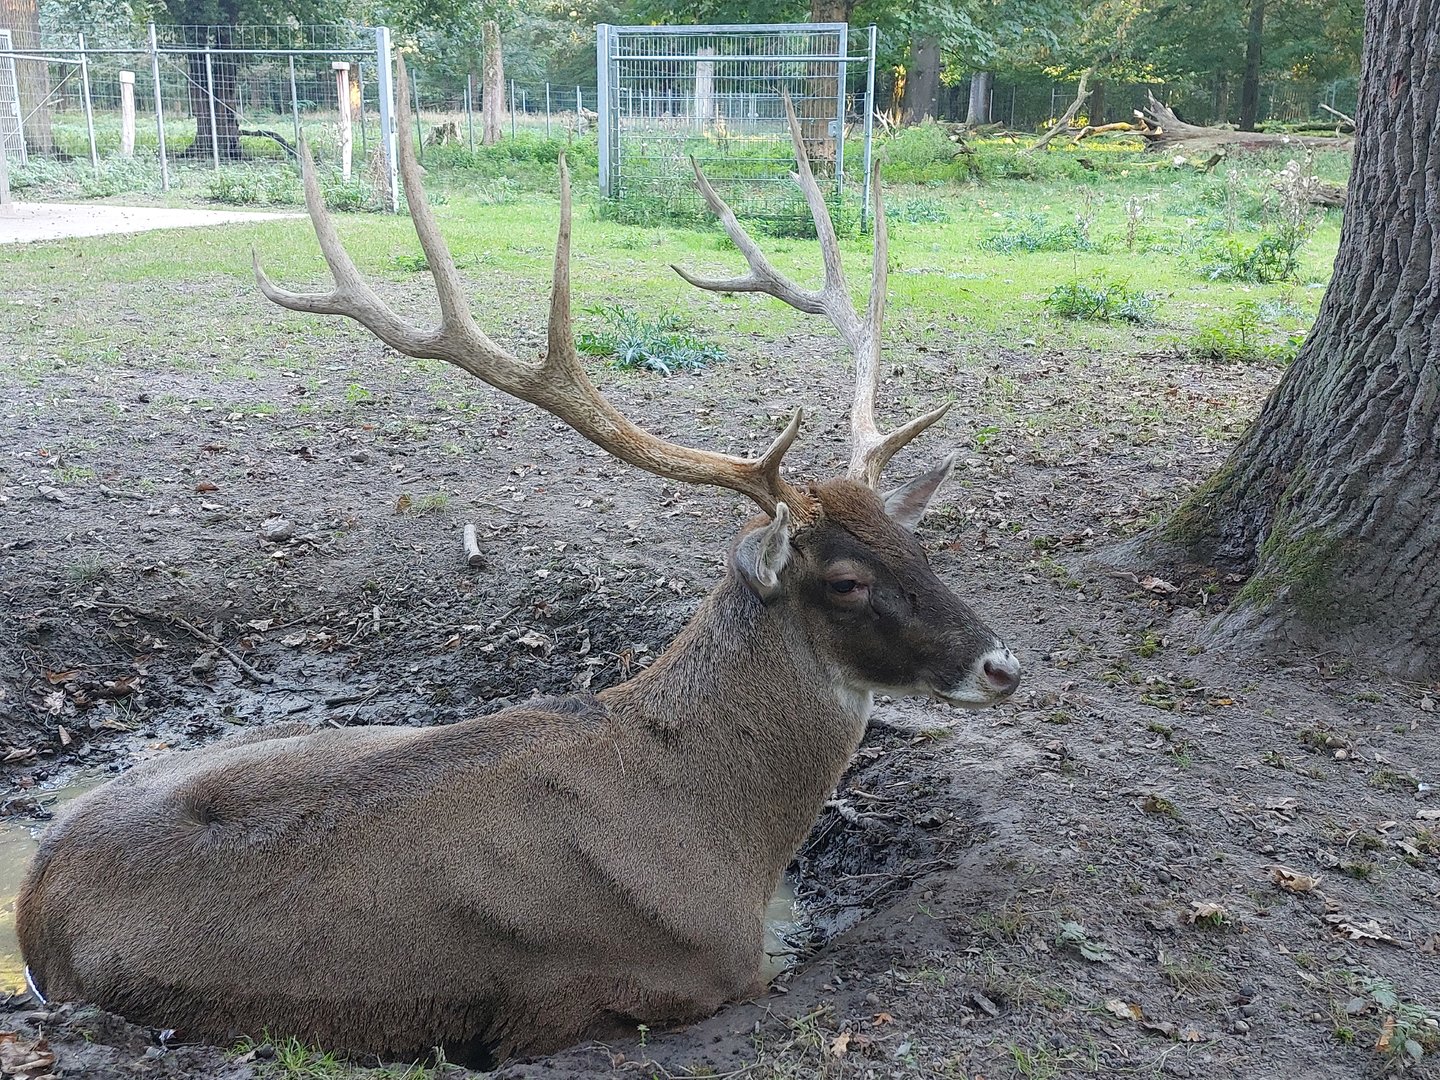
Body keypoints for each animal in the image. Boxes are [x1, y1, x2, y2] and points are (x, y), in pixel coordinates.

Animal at [16, 63, 1020, 1068]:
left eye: (919, 543)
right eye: (845, 582)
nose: (1002, 664)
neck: (714, 834)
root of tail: (33, 894)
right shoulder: (595, 996)